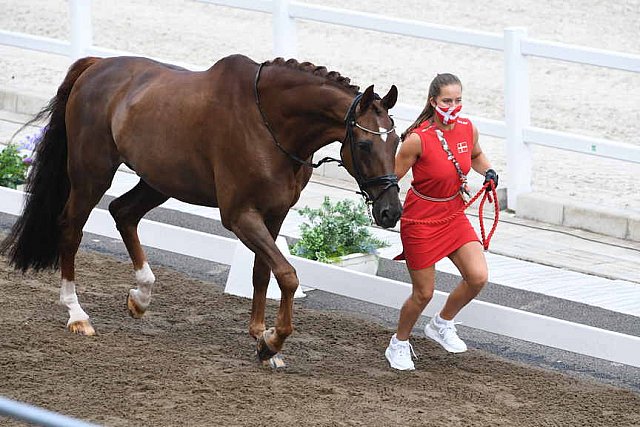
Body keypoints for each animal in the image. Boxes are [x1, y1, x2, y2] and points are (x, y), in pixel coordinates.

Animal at [1, 54, 400, 368]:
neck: (271, 124)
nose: (390, 212)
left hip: (158, 181)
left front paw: (260, 337)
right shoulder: (240, 215)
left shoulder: (274, 214)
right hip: (91, 175)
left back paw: (141, 297)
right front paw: (272, 341)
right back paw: (77, 314)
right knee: (72, 229)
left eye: (396, 141)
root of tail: (96, 66)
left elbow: (263, 273)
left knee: (123, 212)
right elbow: (287, 275)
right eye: (364, 144)